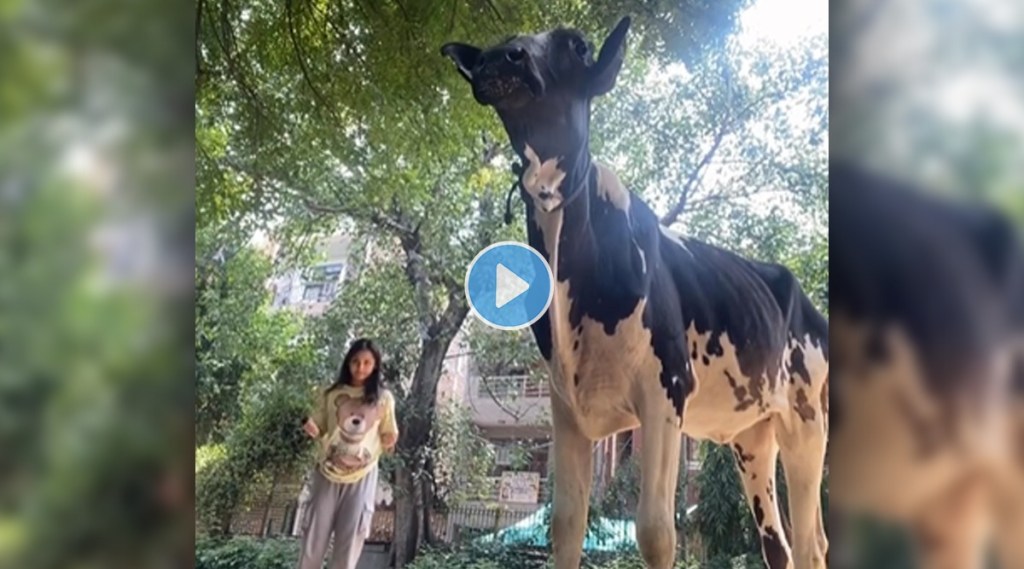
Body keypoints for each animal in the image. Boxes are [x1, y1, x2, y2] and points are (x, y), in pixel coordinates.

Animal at [444, 16, 827, 569]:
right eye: (501, 45)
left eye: (577, 45)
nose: (503, 59)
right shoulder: (565, 407)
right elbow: (565, 524)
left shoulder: (666, 390)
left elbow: (656, 531)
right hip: (753, 436)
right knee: (778, 542)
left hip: (806, 417)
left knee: (811, 541)